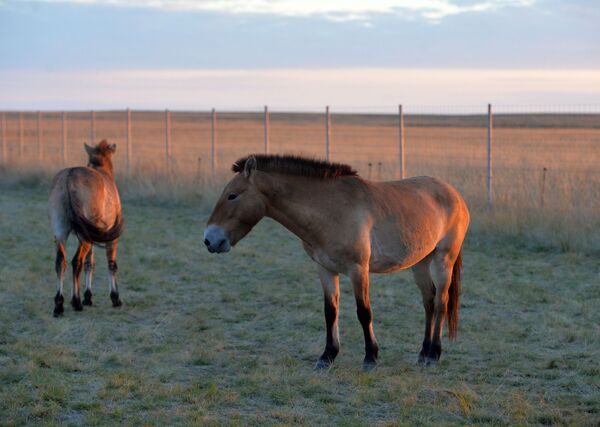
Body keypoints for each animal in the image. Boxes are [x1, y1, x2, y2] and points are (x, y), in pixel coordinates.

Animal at [49, 141, 124, 318]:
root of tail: (68, 178)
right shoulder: (110, 237)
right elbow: (111, 264)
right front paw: (115, 298)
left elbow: (90, 263)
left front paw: (88, 297)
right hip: (85, 237)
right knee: (76, 261)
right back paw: (75, 302)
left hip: (61, 232)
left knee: (60, 262)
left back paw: (59, 304)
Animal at [204, 155, 472, 370]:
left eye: (232, 196)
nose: (209, 240)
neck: (330, 210)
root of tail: (455, 195)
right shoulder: (324, 269)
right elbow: (330, 311)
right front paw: (328, 356)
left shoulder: (358, 269)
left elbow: (364, 312)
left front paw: (371, 357)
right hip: (420, 262)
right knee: (428, 301)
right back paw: (423, 352)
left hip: (443, 259)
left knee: (441, 302)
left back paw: (434, 354)